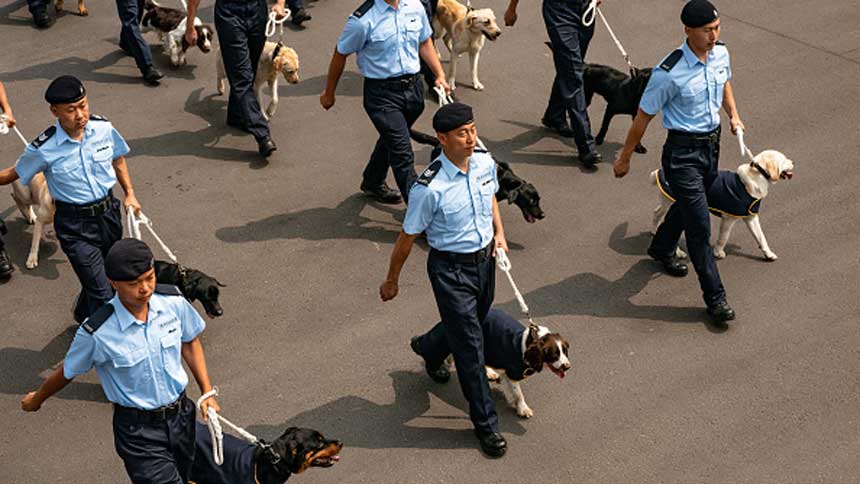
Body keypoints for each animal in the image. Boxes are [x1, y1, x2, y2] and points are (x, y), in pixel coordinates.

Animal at [656, 151, 796, 262]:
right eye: (783, 159)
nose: (793, 162)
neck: (757, 176)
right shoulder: (729, 218)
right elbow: (724, 237)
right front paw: (718, 252)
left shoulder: (750, 217)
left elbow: (761, 237)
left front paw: (768, 254)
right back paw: (677, 251)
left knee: (657, 216)